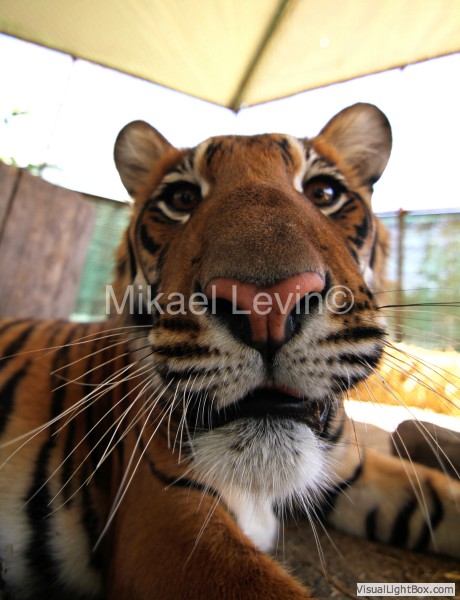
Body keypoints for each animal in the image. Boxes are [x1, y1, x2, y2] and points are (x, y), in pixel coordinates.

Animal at [0, 102, 459, 600]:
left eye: (325, 192)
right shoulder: (167, 522)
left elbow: (441, 497)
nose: (267, 306)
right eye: (182, 199)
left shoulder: (351, 465)